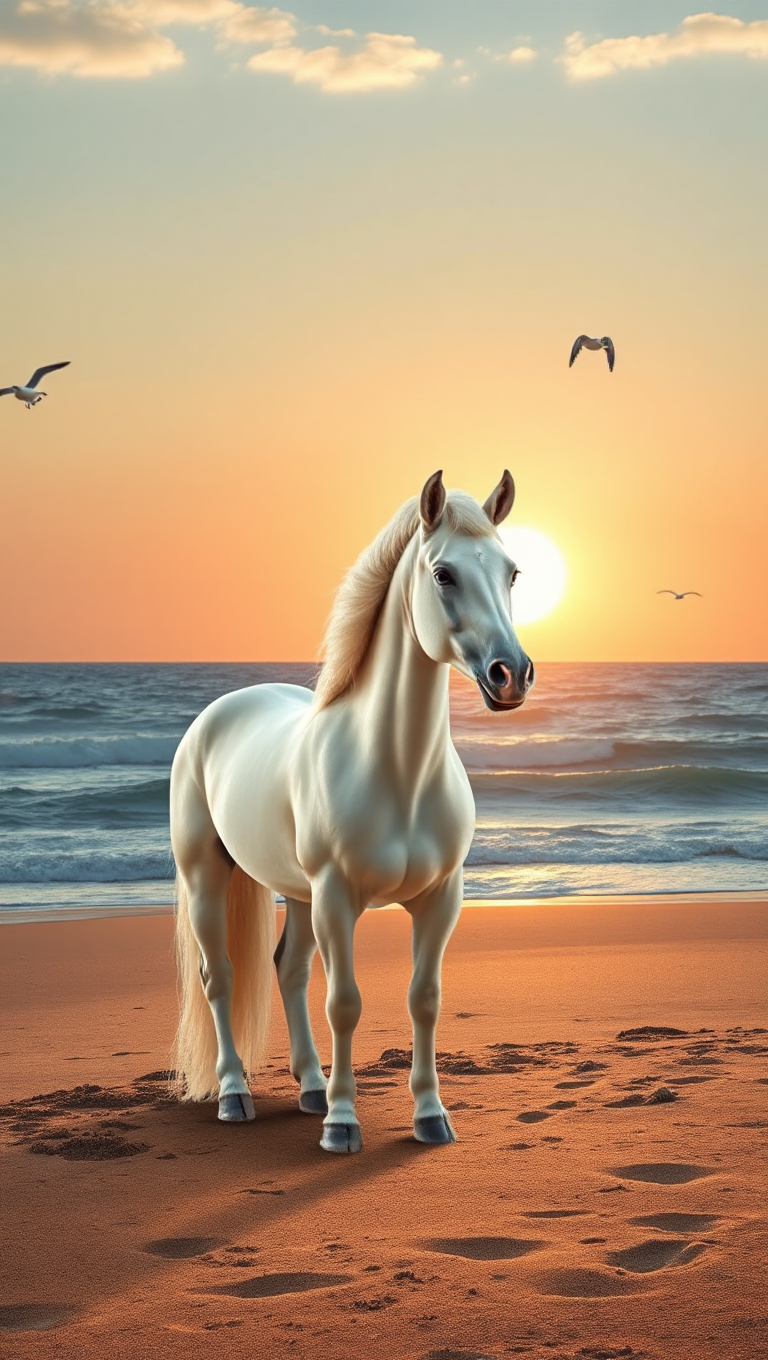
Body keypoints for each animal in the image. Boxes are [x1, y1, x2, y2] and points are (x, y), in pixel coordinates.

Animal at [170, 473, 532, 1153]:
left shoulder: (440, 898)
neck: (398, 773)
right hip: (208, 876)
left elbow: (424, 998)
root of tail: (220, 712)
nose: (511, 675)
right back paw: (235, 1096)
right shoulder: (337, 897)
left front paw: (430, 1117)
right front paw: (342, 1125)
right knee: (219, 977)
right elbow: (345, 1002)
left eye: (512, 572)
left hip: (299, 893)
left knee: (287, 971)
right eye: (443, 574)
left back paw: (311, 1087)